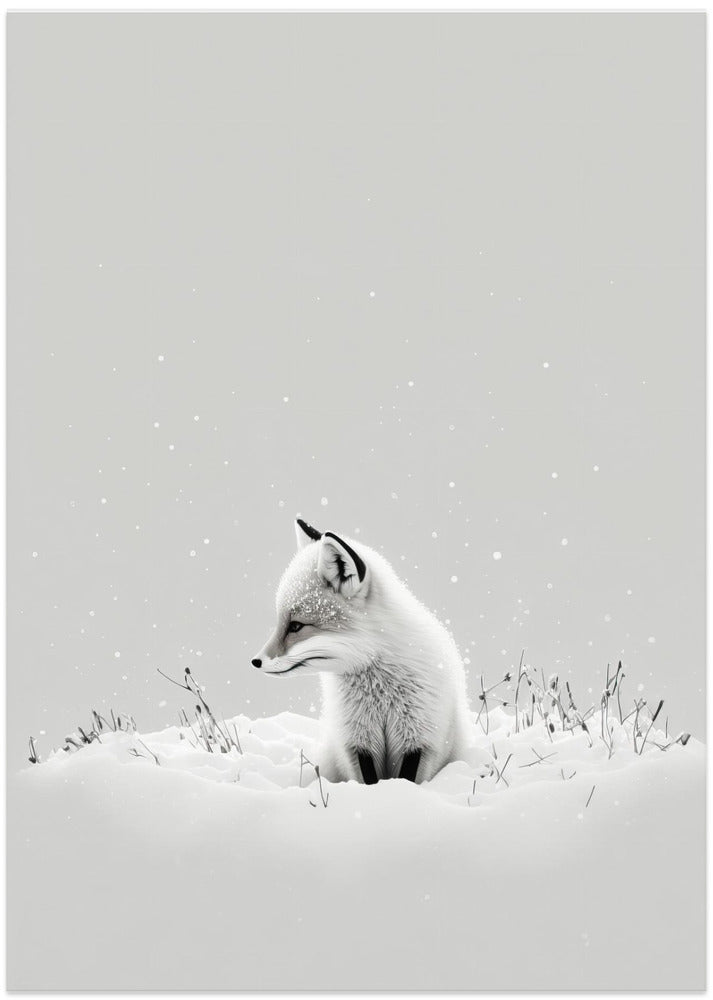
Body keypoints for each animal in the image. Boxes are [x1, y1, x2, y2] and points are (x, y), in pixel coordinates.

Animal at [251, 518, 472, 785]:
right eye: (281, 622)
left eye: (295, 626)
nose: (256, 661)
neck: (380, 692)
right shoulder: (357, 740)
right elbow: (369, 780)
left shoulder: (419, 737)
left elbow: (406, 779)